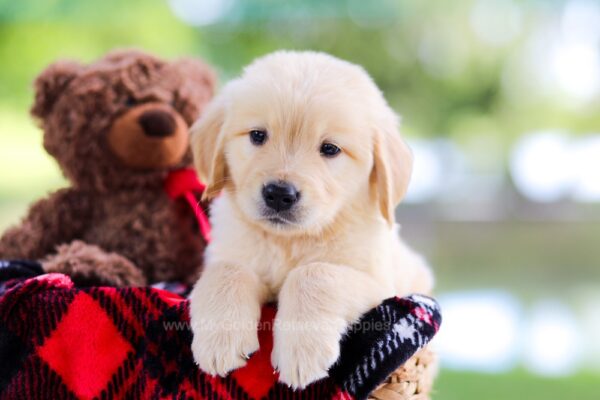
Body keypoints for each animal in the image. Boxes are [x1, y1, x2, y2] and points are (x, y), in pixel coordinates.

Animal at [188, 49, 432, 388]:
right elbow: (227, 271)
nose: (279, 194)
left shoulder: (380, 284)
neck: (289, 241)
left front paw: (301, 351)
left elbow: (314, 273)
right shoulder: (225, 254)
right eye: (258, 135)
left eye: (329, 149)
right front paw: (220, 340)